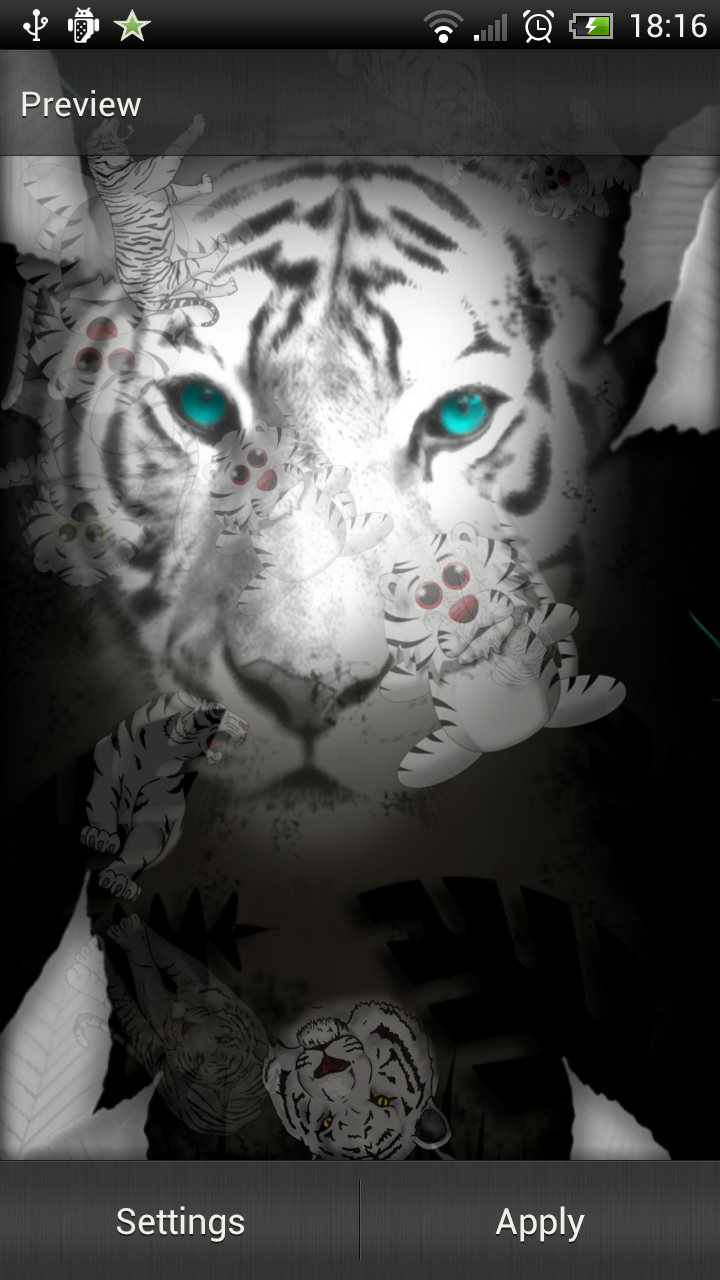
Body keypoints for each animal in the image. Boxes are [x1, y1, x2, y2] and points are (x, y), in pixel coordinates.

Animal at [68, 917, 269, 1136]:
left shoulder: (160, 1029)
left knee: (121, 999)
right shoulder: (210, 991)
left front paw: (128, 938)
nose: (186, 1024)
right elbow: (175, 964)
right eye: (224, 1039)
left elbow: (147, 982)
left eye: (199, 1061)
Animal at [80, 691, 249, 901]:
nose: (246, 726)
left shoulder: (155, 817)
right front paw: (101, 836)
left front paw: (117, 878)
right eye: (218, 710)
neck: (152, 759)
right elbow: (102, 806)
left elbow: (139, 846)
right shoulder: (103, 777)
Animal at [379, 485, 626, 787]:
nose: (463, 609)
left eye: (456, 573)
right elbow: (403, 680)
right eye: (426, 596)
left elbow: (561, 617)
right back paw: (421, 765)